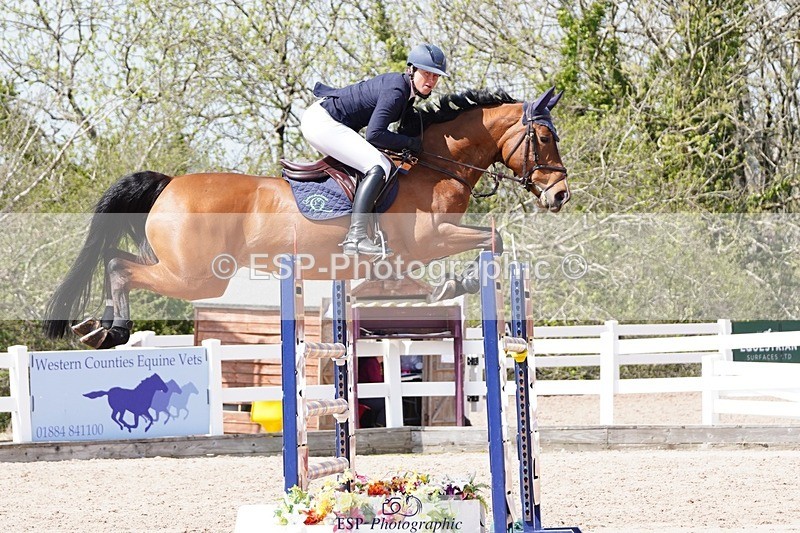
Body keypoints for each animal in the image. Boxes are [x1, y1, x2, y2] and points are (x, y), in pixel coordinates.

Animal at [43, 86, 569, 349]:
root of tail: (169, 184)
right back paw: (112, 331)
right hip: (197, 276)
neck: (434, 167)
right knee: (119, 266)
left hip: (186, 270)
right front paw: (453, 285)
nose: (560, 194)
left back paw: (102, 330)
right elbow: (490, 240)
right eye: (544, 138)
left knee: (114, 259)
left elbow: (481, 245)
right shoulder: (429, 240)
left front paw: (442, 286)